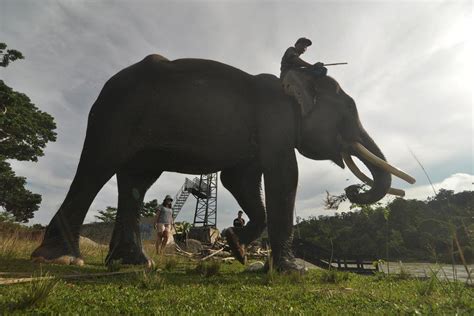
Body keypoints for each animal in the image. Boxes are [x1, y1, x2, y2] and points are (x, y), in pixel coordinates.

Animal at [31, 54, 414, 272]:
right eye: (348, 112)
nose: (351, 190)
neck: (294, 84)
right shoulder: (274, 119)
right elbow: (284, 175)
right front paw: (292, 270)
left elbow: (238, 180)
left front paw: (237, 246)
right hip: (114, 114)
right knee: (97, 167)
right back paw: (61, 257)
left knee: (136, 181)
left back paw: (135, 262)